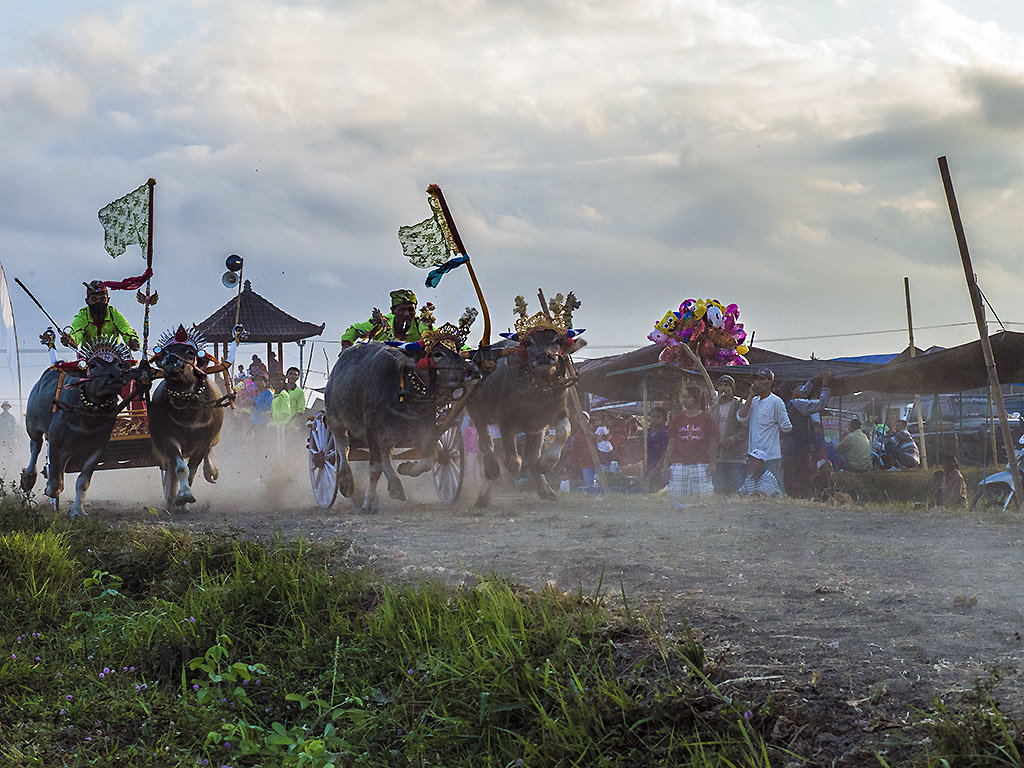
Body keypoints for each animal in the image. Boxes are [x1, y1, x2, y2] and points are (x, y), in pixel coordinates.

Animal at [22, 342, 133, 518]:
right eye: (93, 365)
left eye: (119, 365)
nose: (115, 377)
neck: (88, 418)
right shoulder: (56, 443)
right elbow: (55, 482)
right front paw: (49, 490)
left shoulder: (97, 450)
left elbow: (82, 481)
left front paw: (78, 511)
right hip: (33, 426)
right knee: (35, 446)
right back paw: (27, 479)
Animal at [148, 325, 226, 512]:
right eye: (165, 352)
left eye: (190, 352)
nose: (171, 359)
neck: (189, 411)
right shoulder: (169, 439)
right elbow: (180, 469)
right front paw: (183, 496)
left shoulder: (205, 440)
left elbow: (192, 469)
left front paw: (183, 500)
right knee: (172, 470)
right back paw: (171, 499)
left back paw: (211, 472)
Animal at [323, 339, 475, 514]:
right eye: (437, 354)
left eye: (457, 350)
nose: (472, 370)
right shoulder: (373, 432)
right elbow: (374, 469)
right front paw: (369, 503)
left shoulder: (426, 429)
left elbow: (428, 460)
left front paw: (407, 468)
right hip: (335, 420)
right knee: (342, 448)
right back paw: (346, 482)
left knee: (385, 456)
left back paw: (395, 486)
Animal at [468, 327, 585, 507]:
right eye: (529, 342)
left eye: (556, 341)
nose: (544, 357)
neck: (539, 391)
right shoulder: (507, 422)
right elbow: (512, 458)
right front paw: (512, 468)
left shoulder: (557, 415)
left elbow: (563, 433)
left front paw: (544, 465)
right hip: (476, 412)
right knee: (487, 446)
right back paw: (487, 484)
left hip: (535, 430)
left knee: (530, 457)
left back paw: (545, 490)